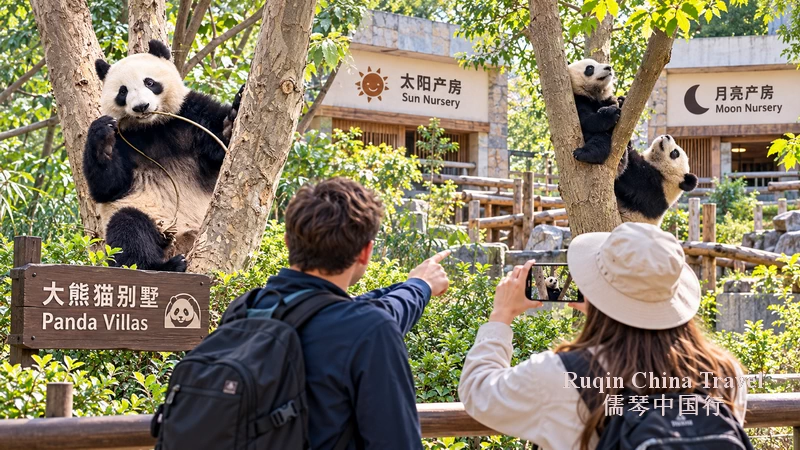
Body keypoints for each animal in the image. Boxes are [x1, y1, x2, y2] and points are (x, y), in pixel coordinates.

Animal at [84, 40, 242, 272]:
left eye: (149, 82)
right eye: (123, 91)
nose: (141, 107)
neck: (152, 127)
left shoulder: (190, 113)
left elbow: (220, 147)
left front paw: (230, 123)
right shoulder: (124, 138)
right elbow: (108, 187)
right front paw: (103, 137)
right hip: (151, 218)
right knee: (128, 227)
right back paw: (166, 266)